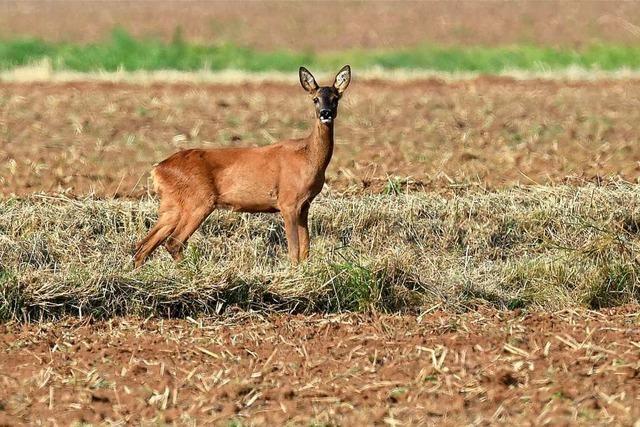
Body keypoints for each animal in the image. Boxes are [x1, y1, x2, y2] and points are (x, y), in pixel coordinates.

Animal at [134, 65, 350, 266]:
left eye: (335, 98)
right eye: (315, 99)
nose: (325, 113)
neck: (308, 156)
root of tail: (158, 169)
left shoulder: (305, 204)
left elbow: (305, 249)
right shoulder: (288, 201)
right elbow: (294, 250)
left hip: (171, 205)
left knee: (143, 246)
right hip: (199, 200)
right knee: (173, 242)